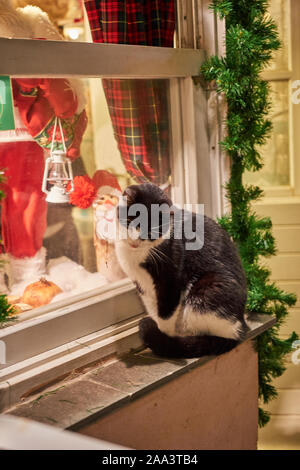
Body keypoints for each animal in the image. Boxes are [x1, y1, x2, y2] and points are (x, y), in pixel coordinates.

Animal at [115, 183, 248, 356]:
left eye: (151, 231)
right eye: (130, 220)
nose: (135, 241)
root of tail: (239, 330)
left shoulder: (171, 278)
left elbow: (166, 312)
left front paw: (164, 337)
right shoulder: (142, 285)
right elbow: (152, 308)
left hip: (207, 291)